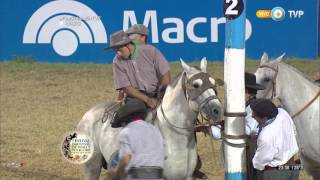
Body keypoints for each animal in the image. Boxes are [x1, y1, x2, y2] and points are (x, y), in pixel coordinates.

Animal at [77, 58, 222, 179]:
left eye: (214, 83)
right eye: (196, 85)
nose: (217, 110)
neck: (174, 138)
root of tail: (88, 114)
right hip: (92, 166)